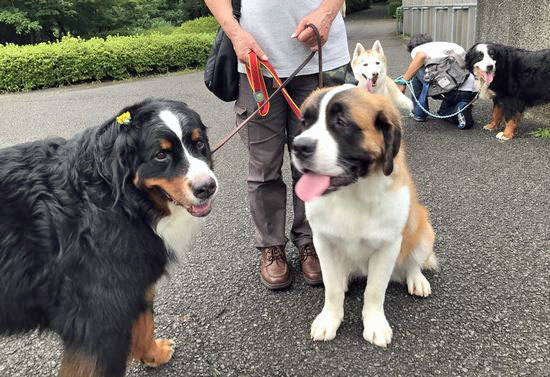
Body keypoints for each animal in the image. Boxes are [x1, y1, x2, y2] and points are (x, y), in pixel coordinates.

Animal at [0, 98, 220, 374]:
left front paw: (153, 354)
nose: (207, 187)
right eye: (161, 155)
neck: (119, 200)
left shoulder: (133, 280)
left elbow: (144, 323)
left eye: (199, 143)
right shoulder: (97, 320)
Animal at [294, 85, 440, 346]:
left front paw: (375, 325)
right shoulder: (322, 241)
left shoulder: (388, 246)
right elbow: (331, 287)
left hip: (422, 227)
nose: (298, 146)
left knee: (414, 262)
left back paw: (417, 279)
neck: (351, 194)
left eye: (341, 122)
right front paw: (329, 319)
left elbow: (374, 290)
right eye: (305, 123)